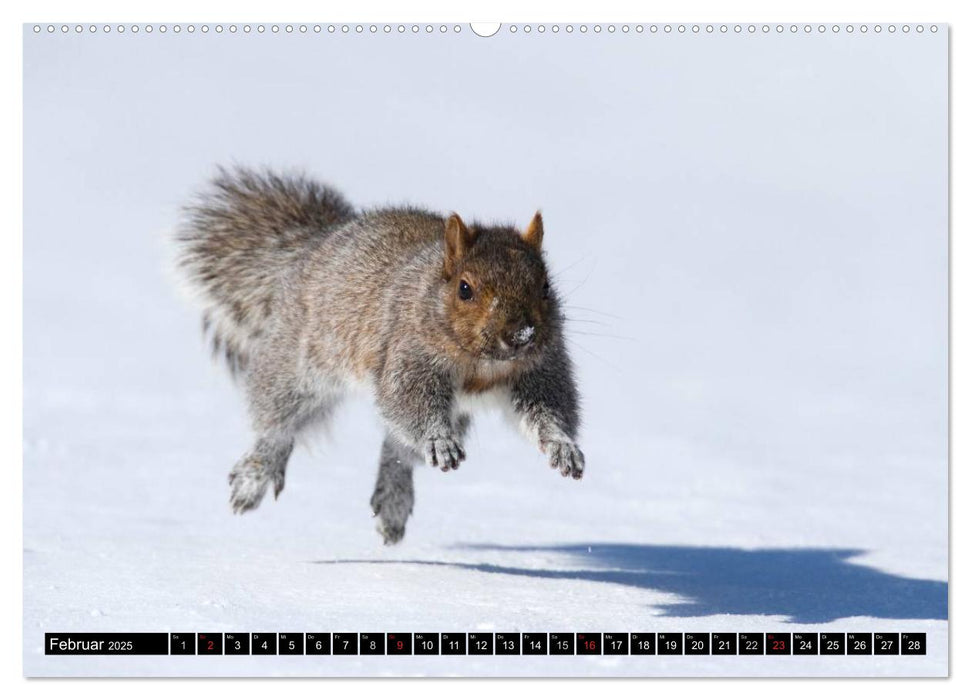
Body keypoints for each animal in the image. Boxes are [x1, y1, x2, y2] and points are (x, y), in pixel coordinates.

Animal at [175, 167, 584, 544]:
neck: (481, 364)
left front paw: (563, 446)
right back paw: (254, 476)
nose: (521, 335)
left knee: (397, 448)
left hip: (454, 410)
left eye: (545, 287)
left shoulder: (539, 368)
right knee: (277, 423)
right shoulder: (409, 357)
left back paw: (393, 500)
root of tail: (313, 248)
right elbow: (409, 404)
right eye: (464, 289)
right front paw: (438, 439)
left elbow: (547, 408)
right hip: (300, 363)